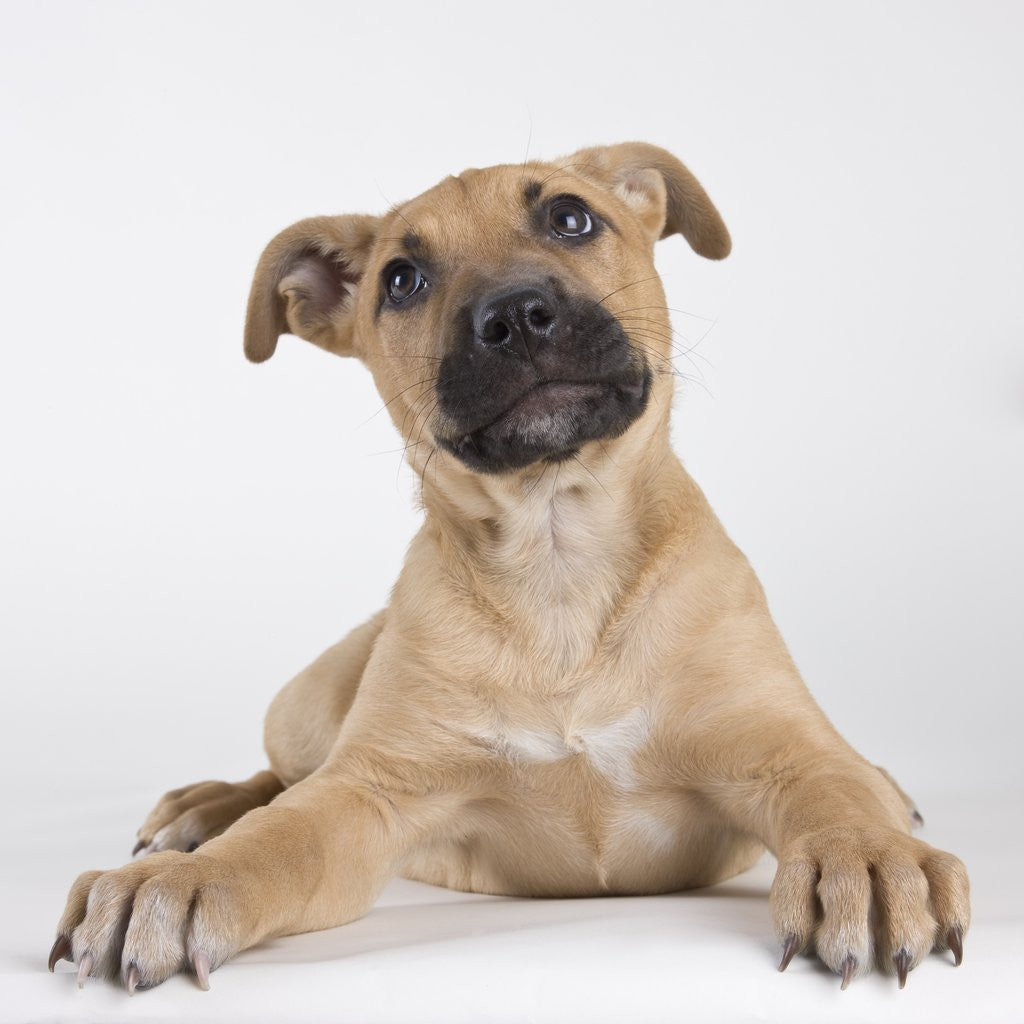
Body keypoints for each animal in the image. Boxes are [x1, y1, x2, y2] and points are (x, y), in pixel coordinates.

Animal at [49, 142, 966, 991]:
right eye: (402, 279)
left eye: (571, 217)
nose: (518, 316)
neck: (559, 560)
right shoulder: (366, 792)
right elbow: (278, 837)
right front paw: (183, 880)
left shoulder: (781, 749)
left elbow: (836, 792)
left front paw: (871, 858)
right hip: (307, 701)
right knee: (278, 777)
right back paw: (201, 813)